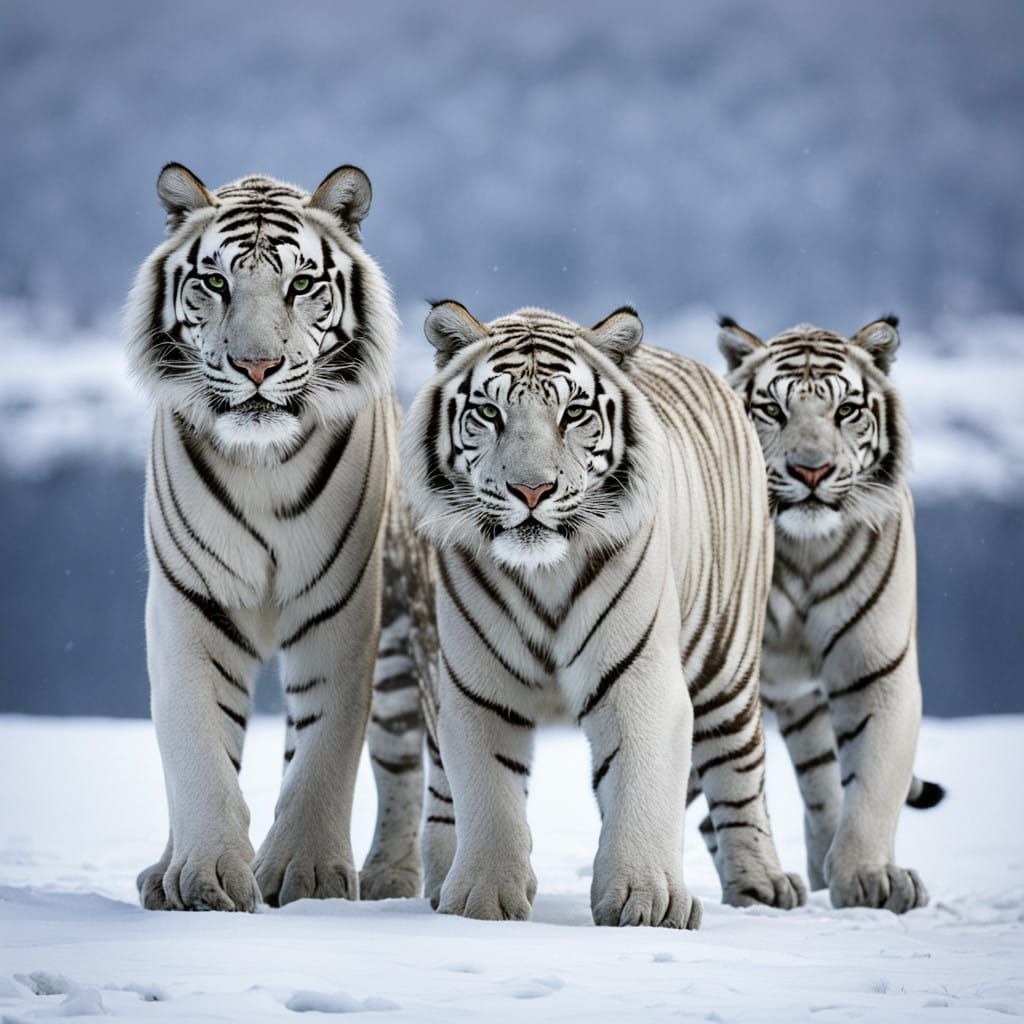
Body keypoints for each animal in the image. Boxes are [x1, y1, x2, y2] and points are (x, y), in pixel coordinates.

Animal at [123, 163, 426, 911]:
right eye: (215, 282)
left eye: (301, 284)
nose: (256, 367)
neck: (259, 459)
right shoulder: (189, 602)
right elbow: (197, 744)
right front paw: (204, 876)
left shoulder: (340, 604)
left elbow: (325, 748)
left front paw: (308, 874)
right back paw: (163, 872)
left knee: (401, 765)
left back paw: (390, 878)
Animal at [400, 301, 807, 928]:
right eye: (489, 412)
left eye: (573, 414)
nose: (531, 490)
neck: (542, 573)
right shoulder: (477, 685)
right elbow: (488, 792)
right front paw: (480, 901)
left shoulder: (639, 679)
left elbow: (640, 783)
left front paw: (648, 901)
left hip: (728, 664)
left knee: (740, 773)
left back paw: (762, 886)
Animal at [717, 314, 943, 913]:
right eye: (773, 410)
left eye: (845, 410)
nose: (811, 472)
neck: (804, 552)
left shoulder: (875, 667)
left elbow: (872, 783)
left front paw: (870, 878)